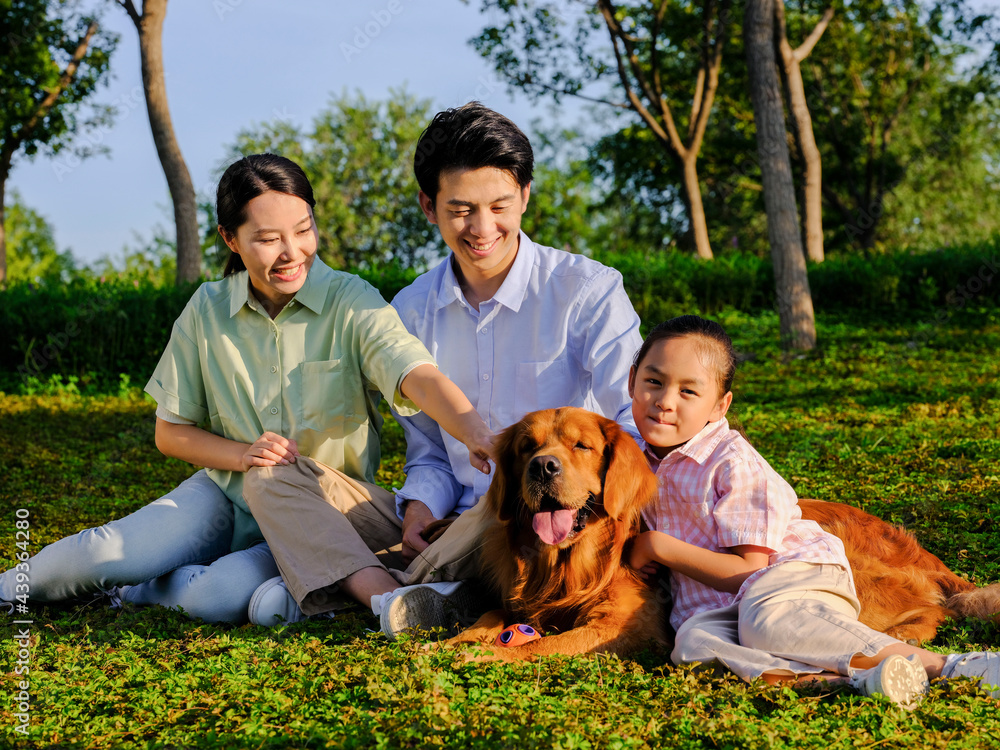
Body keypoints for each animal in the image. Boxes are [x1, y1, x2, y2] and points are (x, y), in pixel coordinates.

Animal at [454, 408, 1000, 660]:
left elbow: (538, 647)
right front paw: (455, 643)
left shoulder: (626, 627)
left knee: (931, 610)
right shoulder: (521, 603)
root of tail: (924, 554)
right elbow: (490, 617)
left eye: (581, 446)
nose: (543, 468)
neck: (569, 564)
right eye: (526, 448)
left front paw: (487, 653)